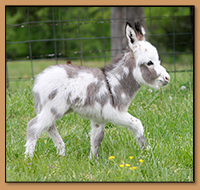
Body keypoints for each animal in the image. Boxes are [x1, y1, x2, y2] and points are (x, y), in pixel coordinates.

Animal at [24, 22, 170, 159]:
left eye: (158, 60)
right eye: (150, 62)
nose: (167, 78)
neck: (115, 82)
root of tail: (39, 80)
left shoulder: (98, 119)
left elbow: (96, 140)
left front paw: (93, 160)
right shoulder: (115, 113)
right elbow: (138, 124)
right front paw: (147, 151)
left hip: (53, 110)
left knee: (49, 126)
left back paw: (61, 153)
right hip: (53, 108)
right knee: (34, 126)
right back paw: (29, 159)